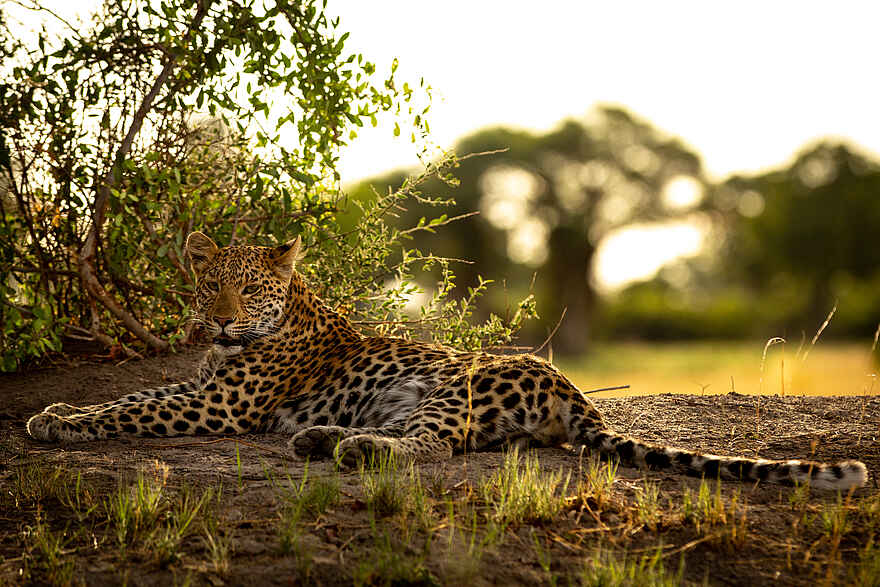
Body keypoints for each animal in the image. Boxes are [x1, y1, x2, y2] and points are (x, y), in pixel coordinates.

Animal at [26, 231, 868, 491]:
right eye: (210, 282)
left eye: (250, 286)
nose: (225, 317)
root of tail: (575, 392)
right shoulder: (201, 383)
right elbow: (132, 394)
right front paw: (59, 408)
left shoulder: (219, 403)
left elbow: (133, 407)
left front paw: (59, 422)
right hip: (420, 396)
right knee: (429, 440)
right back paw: (320, 438)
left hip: (455, 383)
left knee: (435, 445)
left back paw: (350, 448)